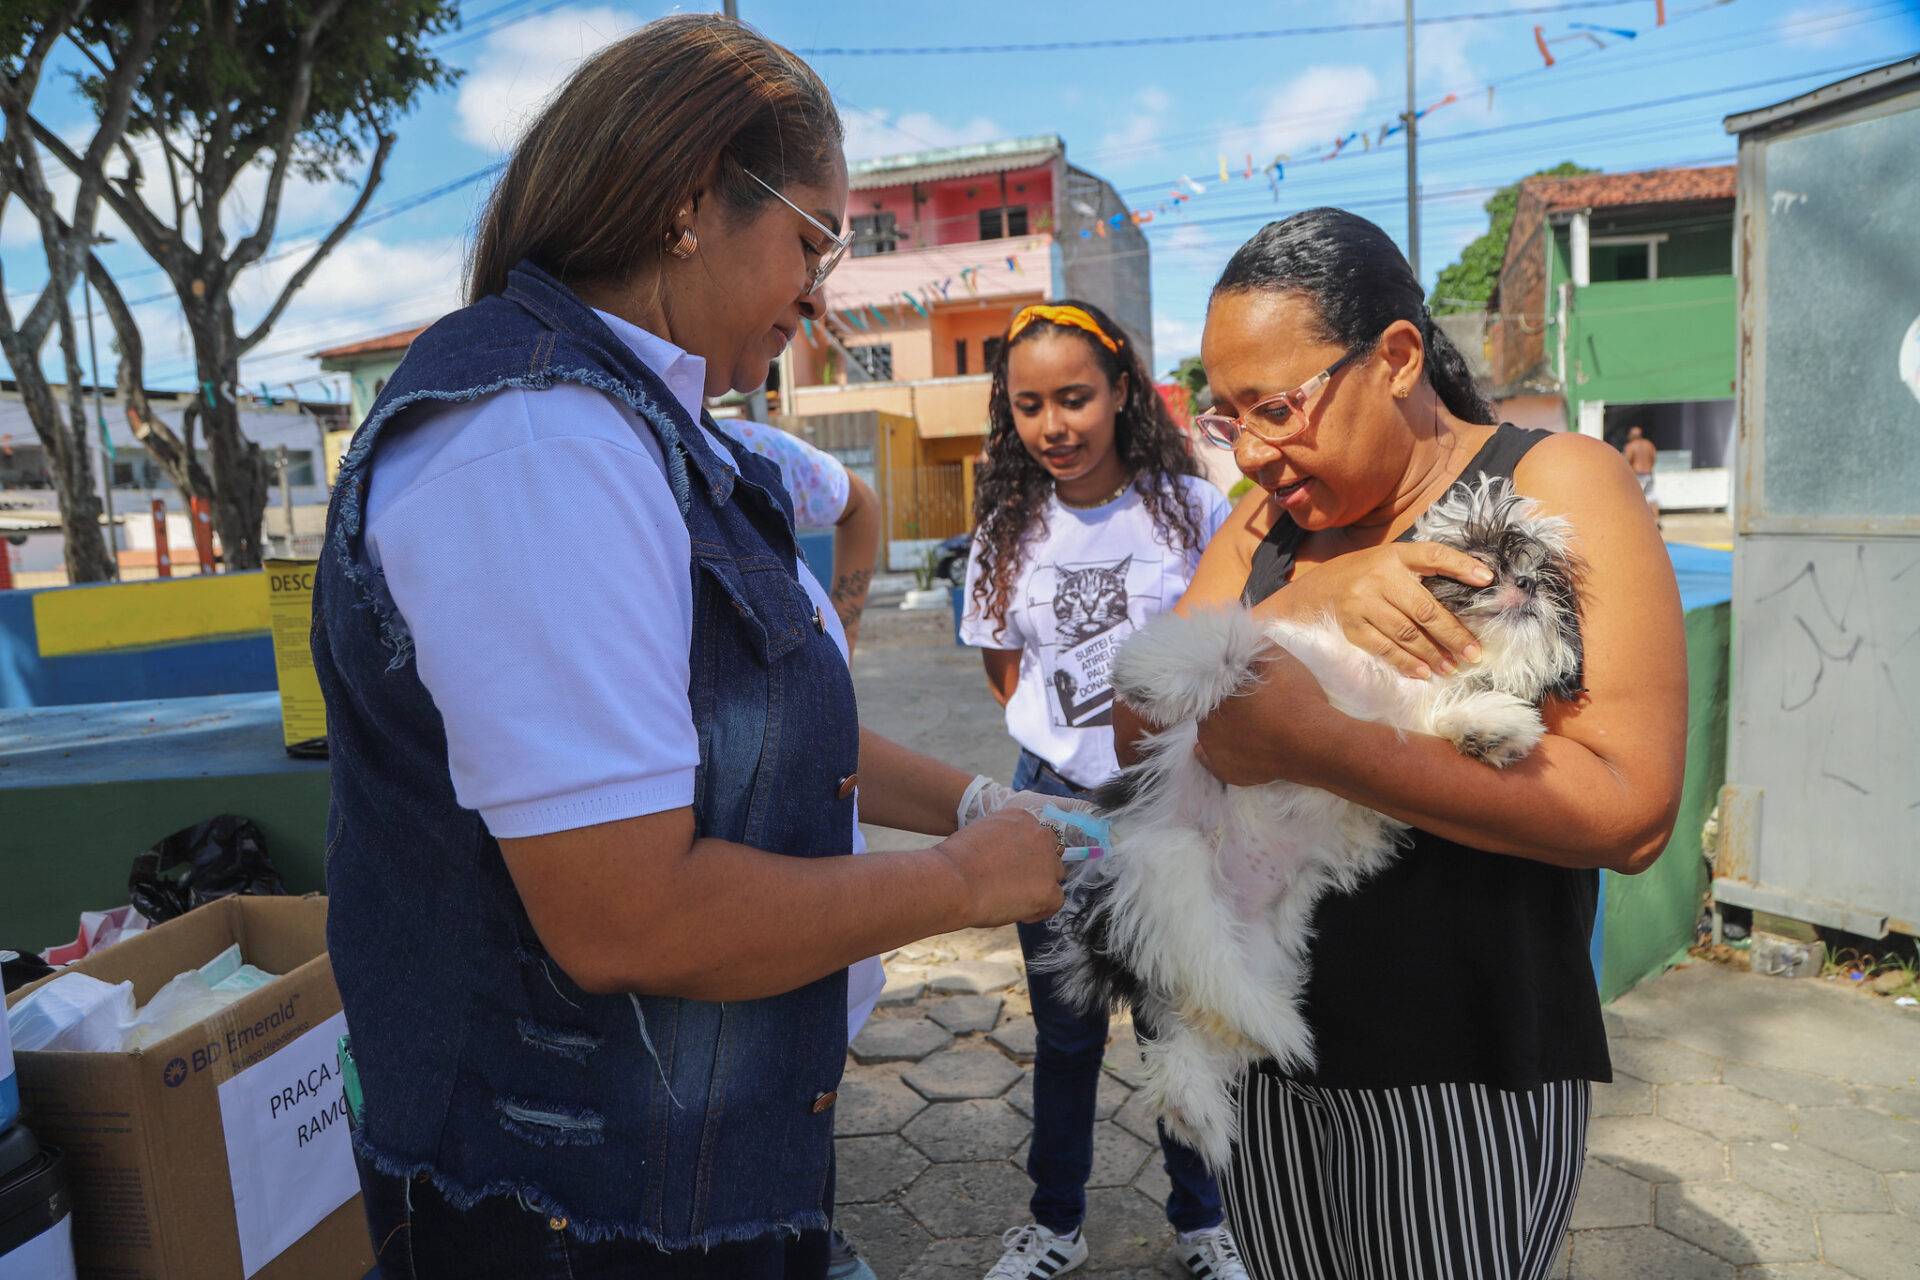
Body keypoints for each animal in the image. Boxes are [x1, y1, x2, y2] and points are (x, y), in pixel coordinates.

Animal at [1044, 477, 1582, 1174]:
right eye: (1481, 557)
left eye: (1548, 577)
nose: (1526, 580)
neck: (1406, 678)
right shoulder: (1287, 653)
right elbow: (1231, 644)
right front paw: (1152, 675)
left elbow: (1439, 723)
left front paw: (1489, 728)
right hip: (1167, 862)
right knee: (1191, 975)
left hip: (1252, 942)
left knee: (1203, 1003)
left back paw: (1213, 1088)